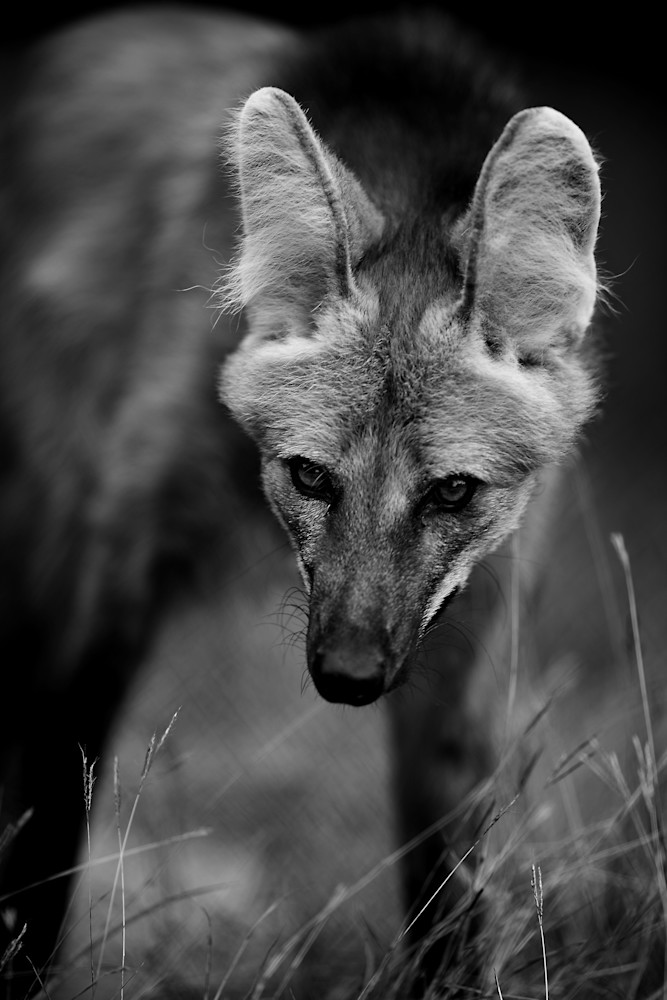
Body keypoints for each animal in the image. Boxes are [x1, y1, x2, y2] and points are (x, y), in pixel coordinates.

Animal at [1, 6, 604, 987]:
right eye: (310, 475)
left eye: (452, 491)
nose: (349, 676)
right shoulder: (111, 569)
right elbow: (50, 821)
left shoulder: (470, 626)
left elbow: (448, 885)